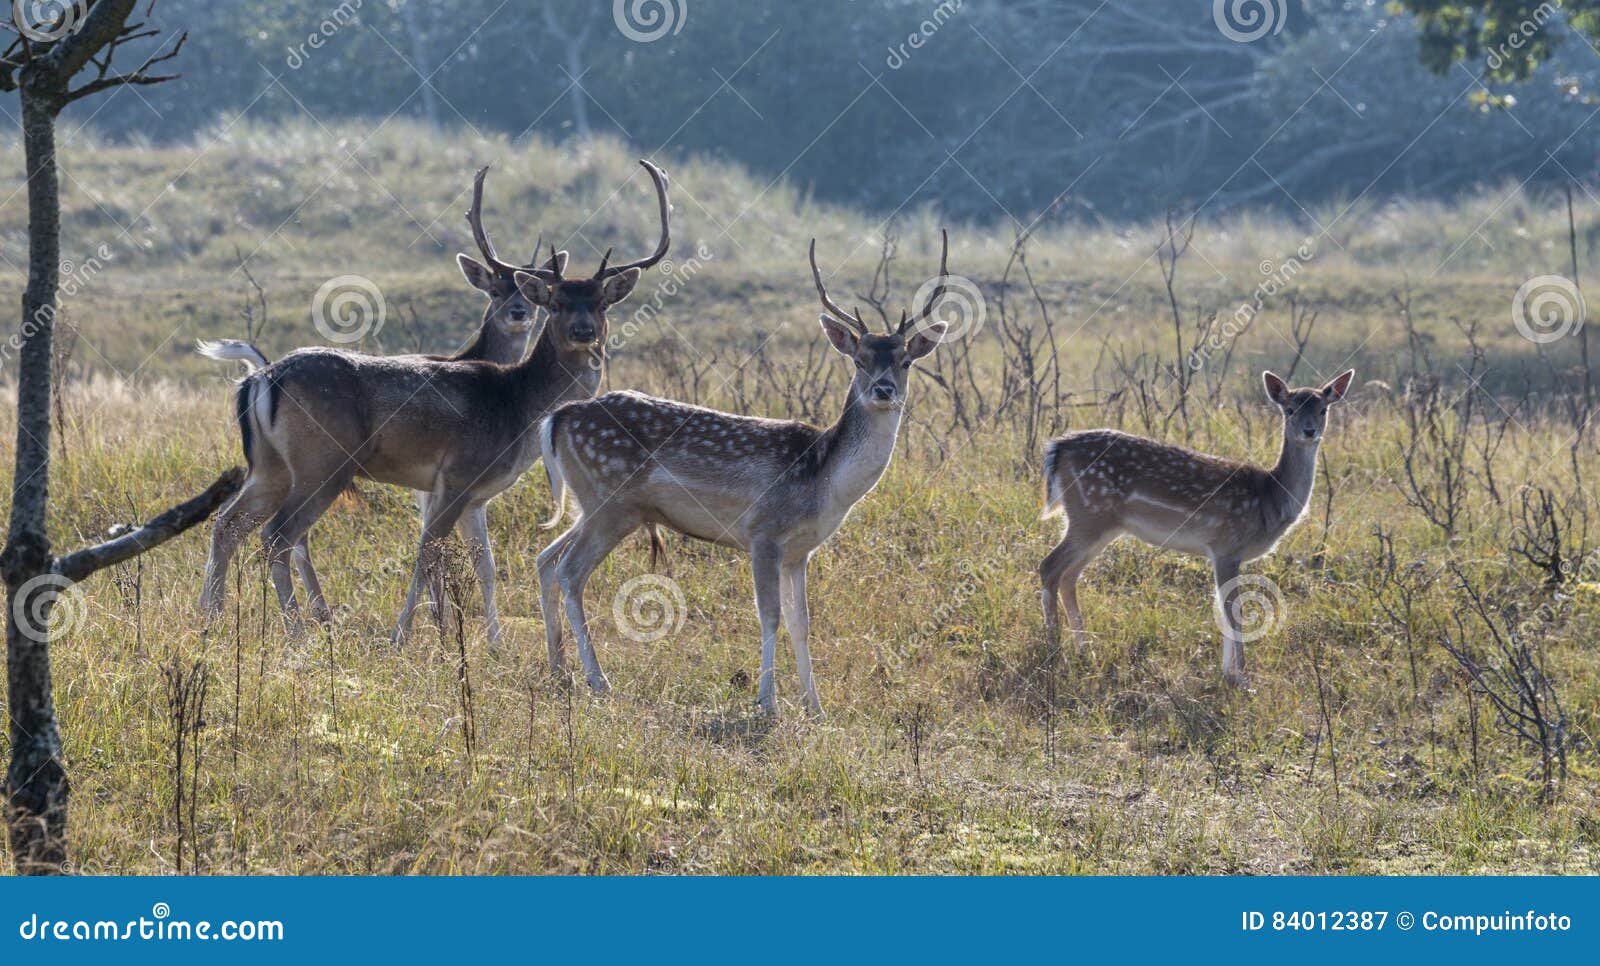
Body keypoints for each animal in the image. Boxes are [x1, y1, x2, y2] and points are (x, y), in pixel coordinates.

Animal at [201, 160, 675, 649]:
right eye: (557, 302)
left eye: (601, 303)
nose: (584, 331)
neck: (518, 407)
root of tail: (260, 378)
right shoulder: (456, 476)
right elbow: (427, 553)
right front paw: (408, 636)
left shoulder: (476, 496)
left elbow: (485, 563)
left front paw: (492, 644)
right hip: (323, 462)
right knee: (278, 535)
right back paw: (298, 633)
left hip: (269, 466)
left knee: (226, 523)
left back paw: (211, 622)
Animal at [531, 233, 953, 716]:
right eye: (860, 360)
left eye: (905, 362)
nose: (884, 389)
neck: (825, 480)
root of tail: (557, 417)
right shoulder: (763, 532)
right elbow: (769, 616)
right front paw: (768, 702)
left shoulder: (800, 551)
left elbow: (802, 622)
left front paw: (816, 706)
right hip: (609, 502)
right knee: (570, 571)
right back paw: (598, 679)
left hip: (596, 504)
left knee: (546, 557)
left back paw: (559, 668)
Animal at [1036, 364, 1350, 687]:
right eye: (1289, 409)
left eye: (1323, 409)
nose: (1309, 431)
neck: (1269, 499)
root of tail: (1057, 449)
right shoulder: (1226, 545)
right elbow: (1233, 608)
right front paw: (1243, 679)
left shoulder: (1224, 552)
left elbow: (1222, 607)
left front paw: (1227, 673)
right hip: (1090, 514)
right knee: (1049, 566)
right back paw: (1054, 650)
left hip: (1099, 524)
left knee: (1069, 575)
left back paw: (1084, 650)